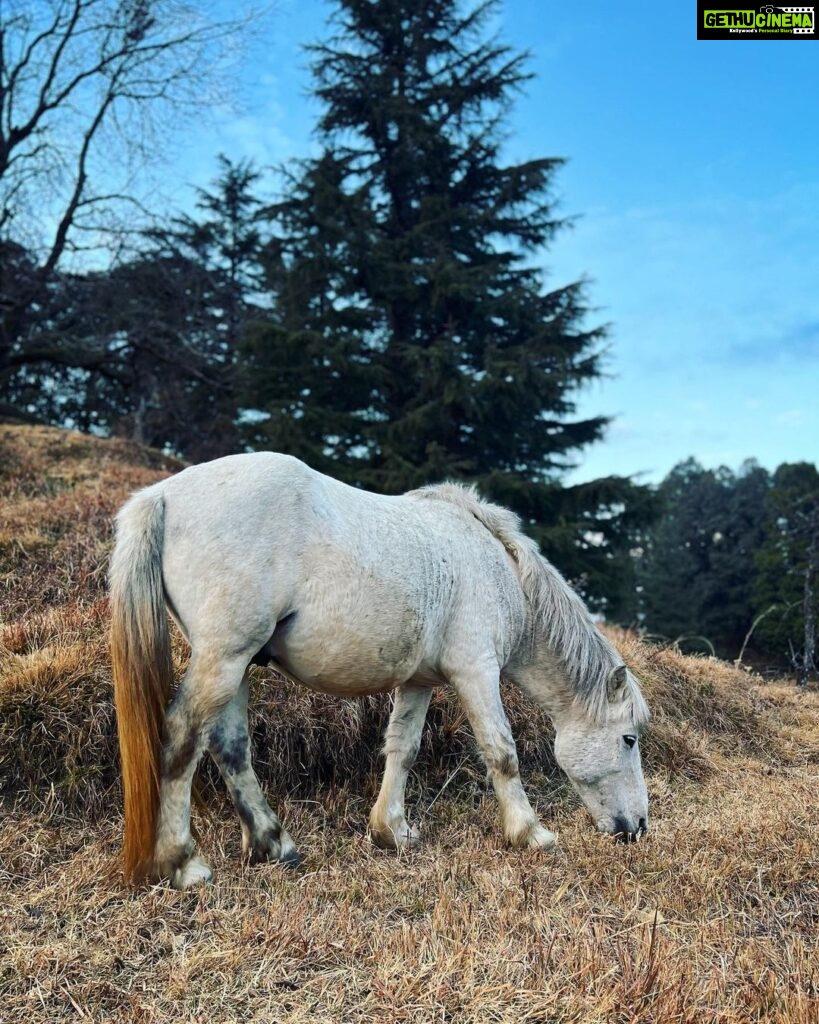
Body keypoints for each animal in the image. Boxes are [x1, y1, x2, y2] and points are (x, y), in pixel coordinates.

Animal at [108, 450, 651, 888]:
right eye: (628, 739)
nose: (638, 828)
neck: (501, 572)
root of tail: (162, 495)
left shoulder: (419, 683)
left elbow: (402, 749)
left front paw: (392, 831)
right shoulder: (477, 672)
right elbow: (502, 752)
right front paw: (530, 832)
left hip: (235, 666)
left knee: (230, 748)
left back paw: (273, 844)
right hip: (224, 659)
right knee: (182, 738)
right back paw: (184, 863)